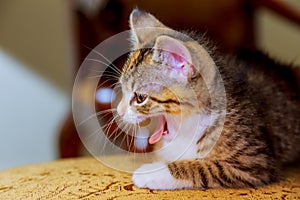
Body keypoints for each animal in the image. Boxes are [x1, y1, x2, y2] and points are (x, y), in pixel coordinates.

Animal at [115, 9, 300, 189]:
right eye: (123, 89)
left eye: (140, 98)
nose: (118, 111)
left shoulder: (254, 162)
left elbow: (204, 167)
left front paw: (152, 172)